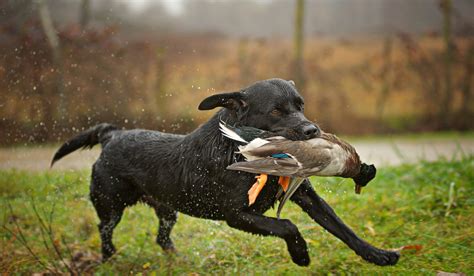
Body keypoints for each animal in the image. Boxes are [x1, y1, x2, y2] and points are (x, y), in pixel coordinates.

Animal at [52, 78, 400, 268]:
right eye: (276, 110)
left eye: (300, 105)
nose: (312, 130)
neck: (236, 145)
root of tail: (113, 135)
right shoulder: (237, 215)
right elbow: (287, 225)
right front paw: (300, 255)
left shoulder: (305, 196)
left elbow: (342, 228)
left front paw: (378, 255)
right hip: (110, 204)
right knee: (105, 232)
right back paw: (110, 259)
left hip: (167, 209)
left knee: (162, 236)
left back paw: (178, 260)